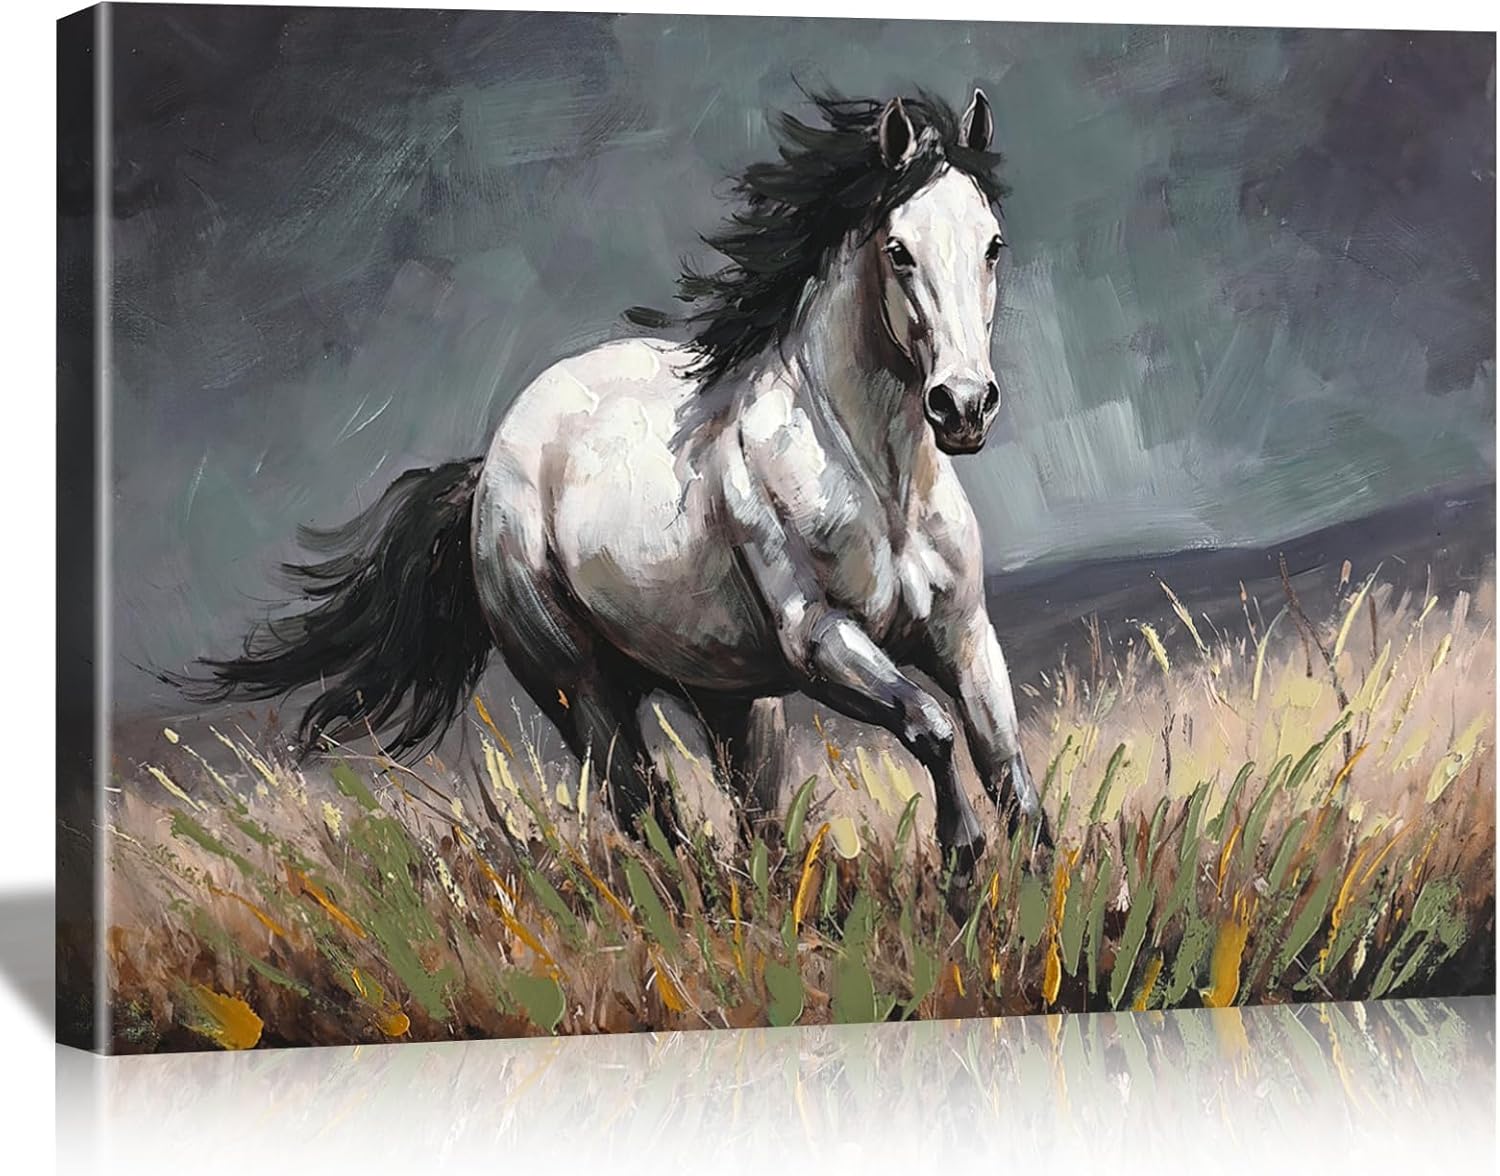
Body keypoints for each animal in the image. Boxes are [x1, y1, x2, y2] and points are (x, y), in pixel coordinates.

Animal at [197, 88, 1053, 881]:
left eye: (992, 245)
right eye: (899, 250)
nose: (963, 405)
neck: (877, 484)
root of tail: (489, 467)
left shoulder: (963, 634)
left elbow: (1007, 771)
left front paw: (1035, 893)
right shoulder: (823, 643)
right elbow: (932, 727)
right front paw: (963, 856)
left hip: (732, 697)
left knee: (754, 819)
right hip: (581, 689)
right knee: (643, 809)